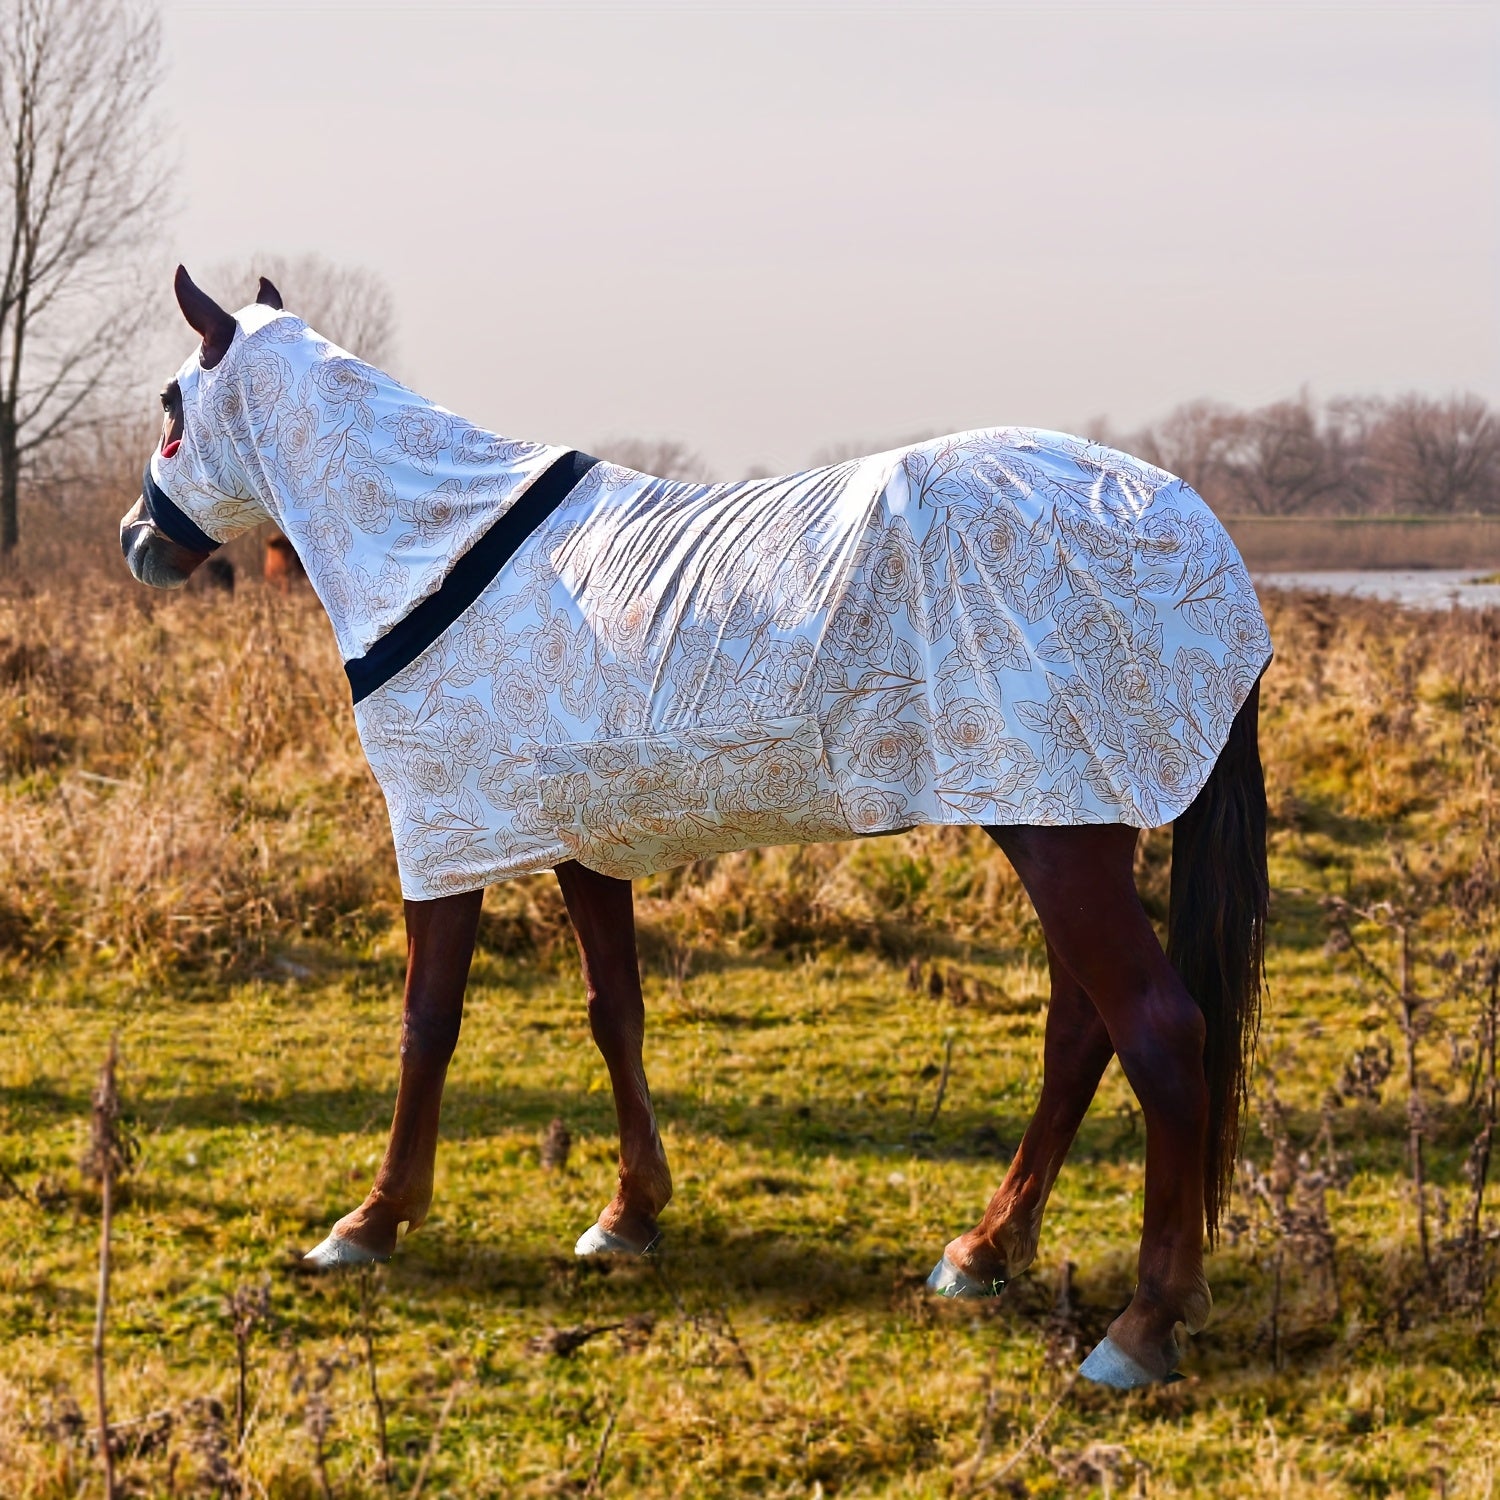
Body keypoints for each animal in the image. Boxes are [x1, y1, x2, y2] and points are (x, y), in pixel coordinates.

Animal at [121, 266, 1272, 1389]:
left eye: (172, 407)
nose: (138, 541)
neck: (441, 552)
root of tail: (1191, 527)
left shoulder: (444, 842)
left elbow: (426, 1025)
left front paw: (371, 1221)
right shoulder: (585, 845)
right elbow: (614, 1011)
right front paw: (630, 1213)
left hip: (1060, 841)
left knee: (1158, 1033)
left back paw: (1141, 1327)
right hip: (1066, 819)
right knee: (1081, 1034)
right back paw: (984, 1252)